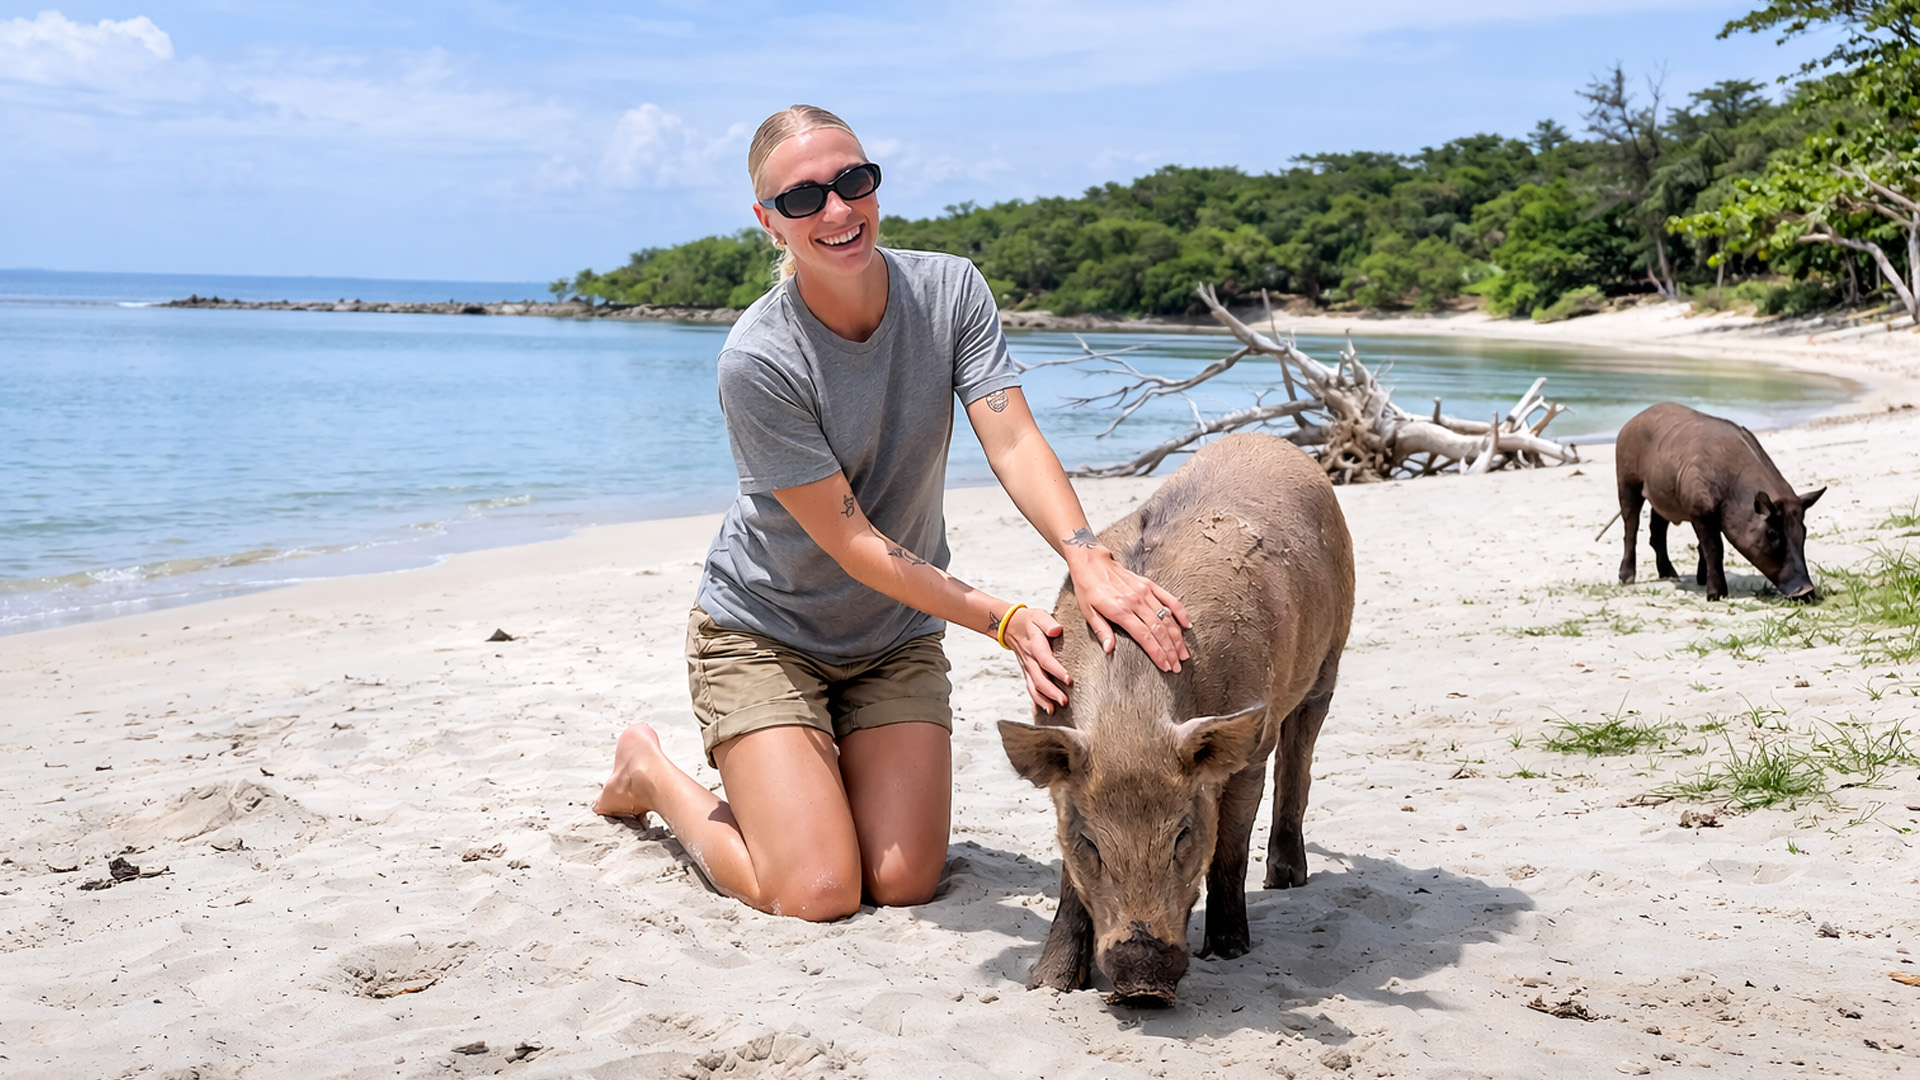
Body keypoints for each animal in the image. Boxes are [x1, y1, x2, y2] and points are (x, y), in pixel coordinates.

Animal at [997, 433, 1355, 1006]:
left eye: (1183, 835)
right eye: (1091, 843)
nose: (1143, 976)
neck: (1131, 721)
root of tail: (1275, 441)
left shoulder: (1247, 746)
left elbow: (1230, 843)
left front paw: (1229, 952)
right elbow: (1069, 883)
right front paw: (1048, 983)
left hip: (1331, 655)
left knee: (1297, 756)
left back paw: (1285, 881)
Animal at [1614, 402, 1826, 601]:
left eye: (1803, 531)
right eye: (1772, 533)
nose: (1807, 591)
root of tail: (1630, 423)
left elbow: (1703, 546)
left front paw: (1702, 580)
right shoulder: (1699, 511)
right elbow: (1714, 548)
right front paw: (1716, 595)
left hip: (1661, 496)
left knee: (1657, 530)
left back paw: (1671, 575)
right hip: (1626, 479)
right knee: (1631, 526)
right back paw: (1627, 578)